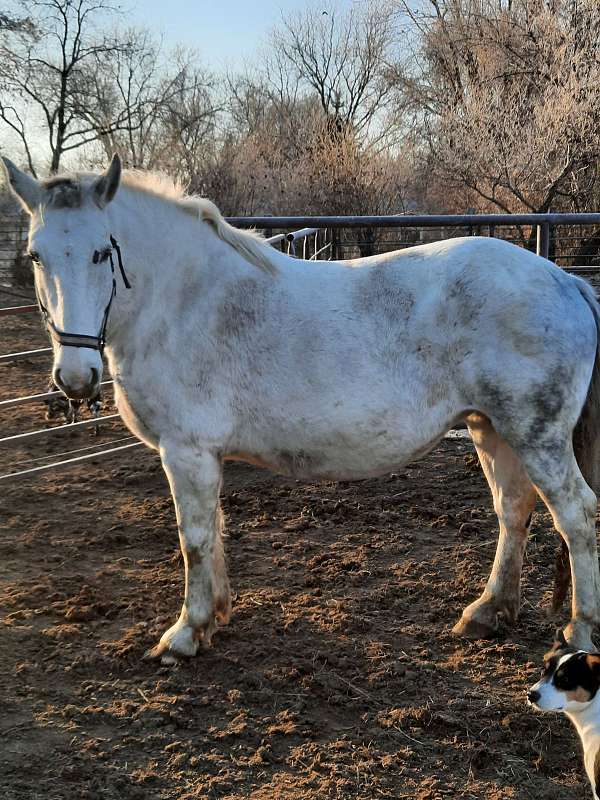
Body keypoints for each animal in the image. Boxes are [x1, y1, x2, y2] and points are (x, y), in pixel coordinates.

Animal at [4, 153, 600, 660]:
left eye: (102, 252)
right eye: (36, 255)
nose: (75, 378)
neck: (184, 302)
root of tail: (562, 279)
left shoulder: (186, 452)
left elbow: (193, 538)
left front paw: (186, 633)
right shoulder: (203, 456)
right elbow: (214, 531)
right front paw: (215, 614)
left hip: (536, 436)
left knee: (577, 516)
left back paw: (580, 631)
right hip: (491, 427)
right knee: (513, 511)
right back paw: (489, 611)